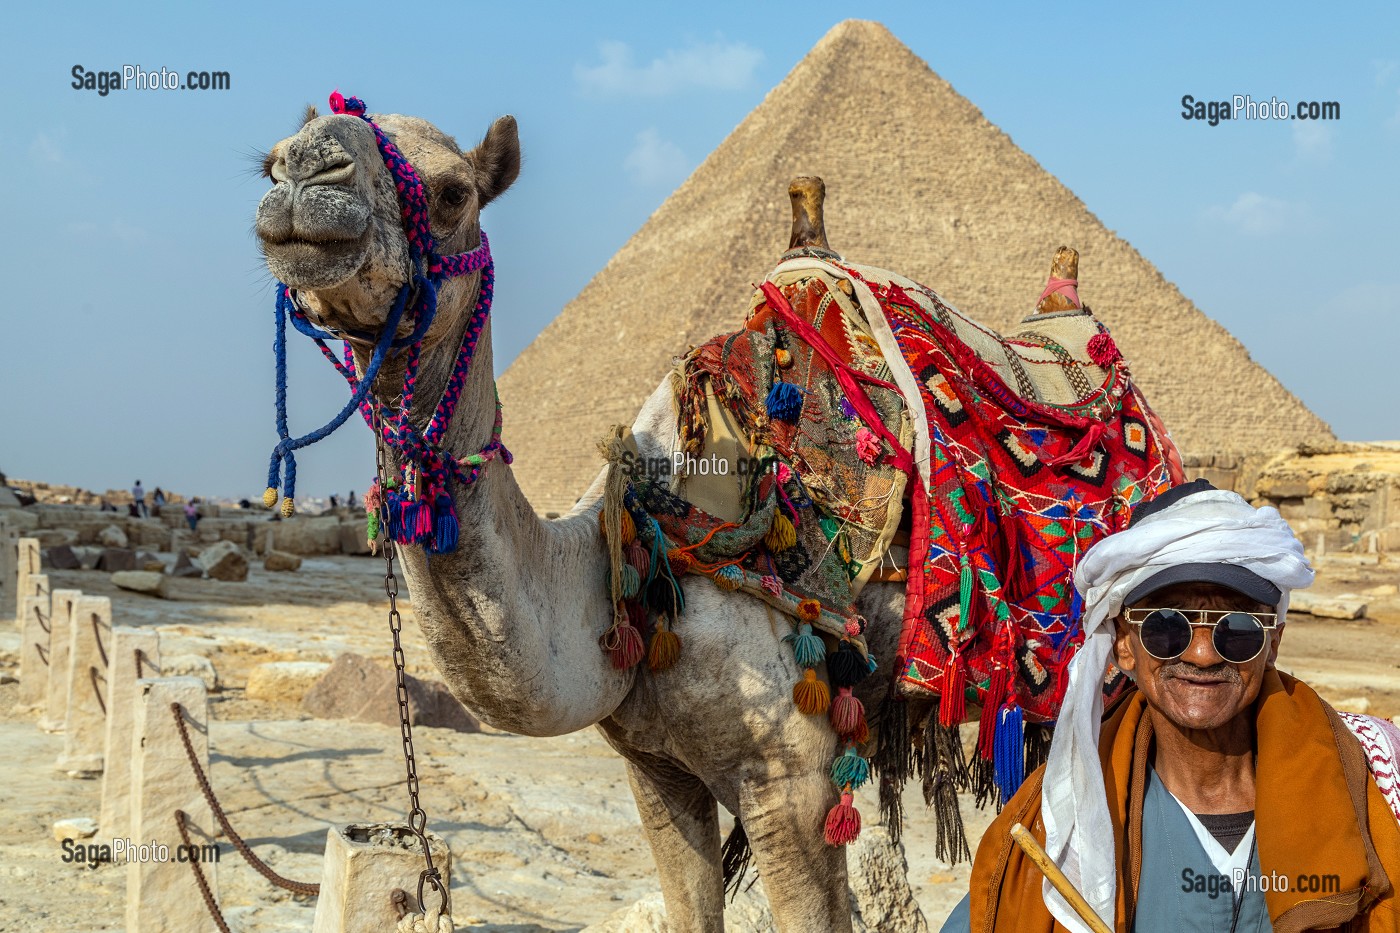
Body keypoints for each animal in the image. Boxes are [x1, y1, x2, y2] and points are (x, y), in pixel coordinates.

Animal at [257, 103, 1075, 930]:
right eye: (270, 161)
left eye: (454, 191)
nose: (304, 172)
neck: (630, 554)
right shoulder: (654, 768)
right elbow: (691, 907)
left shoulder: (795, 780)